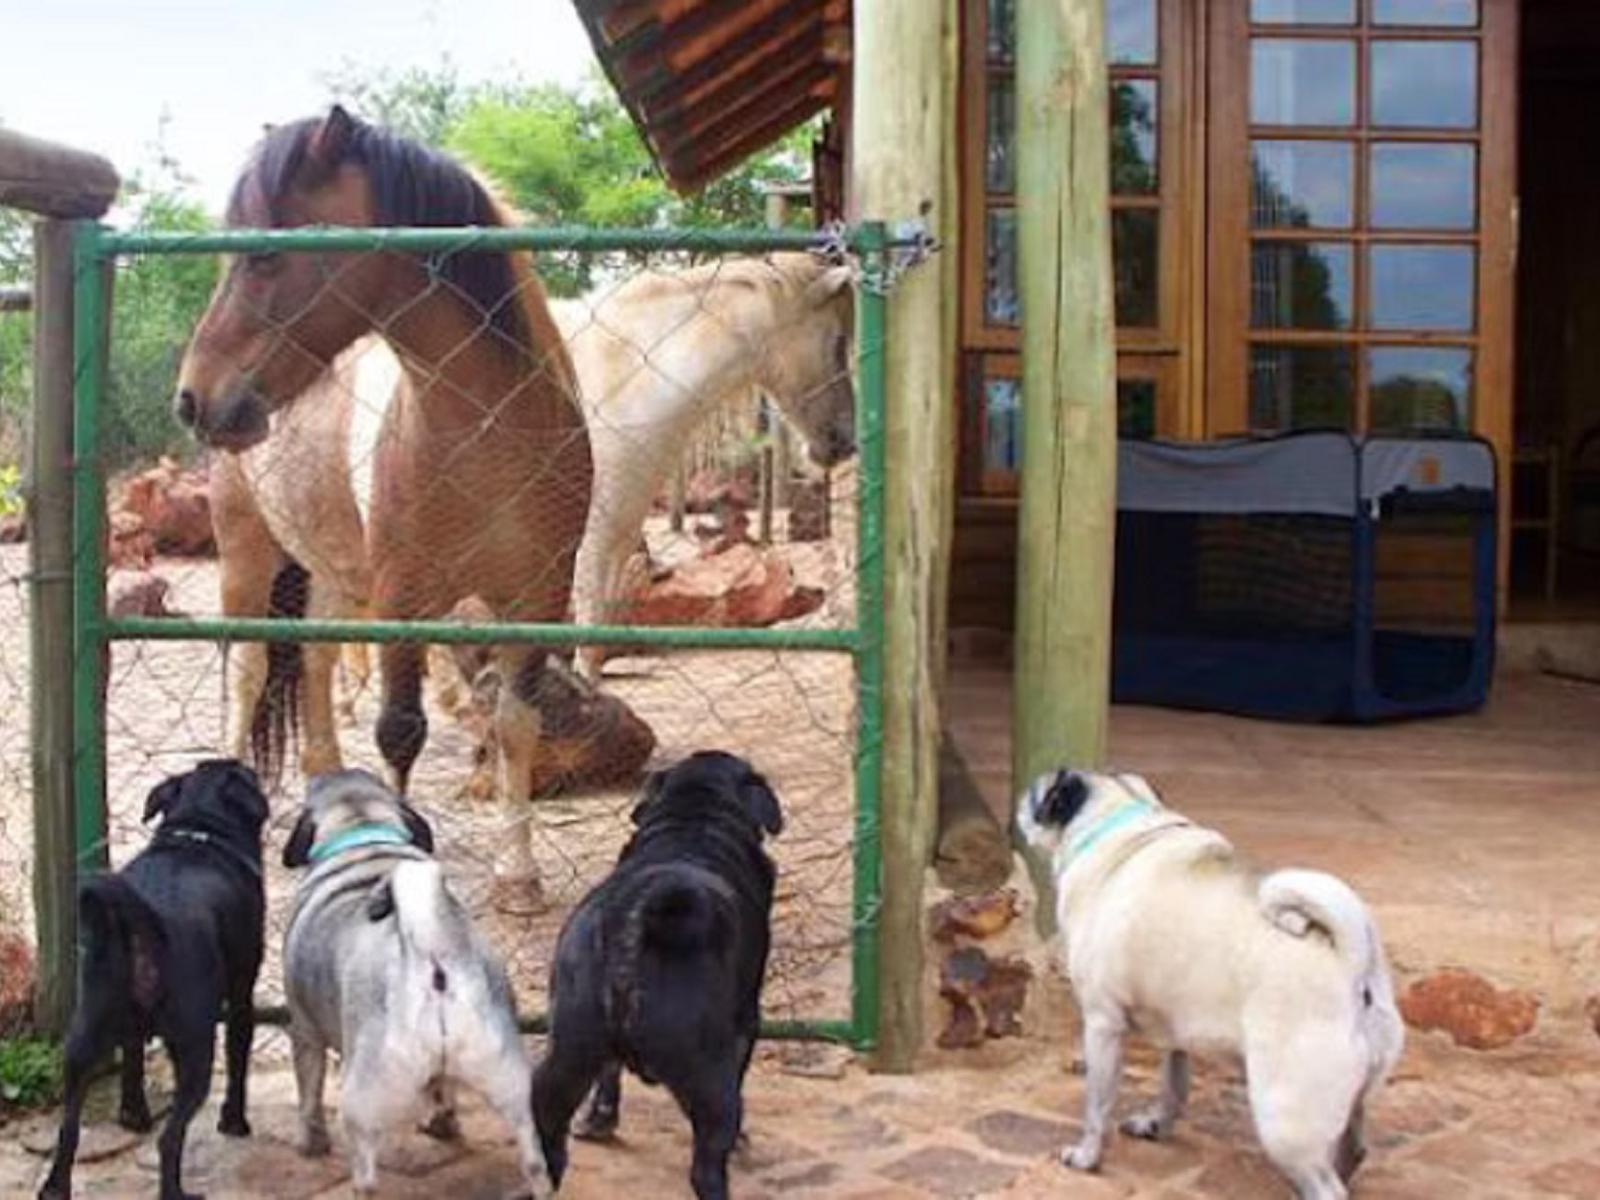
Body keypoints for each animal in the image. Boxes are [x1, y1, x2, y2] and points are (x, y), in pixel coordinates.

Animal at [39, 759, 269, 1200]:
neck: (197, 832)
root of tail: (145, 922)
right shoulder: (241, 995)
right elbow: (239, 1058)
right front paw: (235, 1122)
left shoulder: (129, 1030)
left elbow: (132, 1059)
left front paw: (133, 1114)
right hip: (195, 1050)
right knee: (170, 1138)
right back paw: (176, 1192)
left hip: (82, 1037)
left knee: (68, 1129)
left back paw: (55, 1188)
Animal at [174, 105, 593, 911]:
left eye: (264, 257)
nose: (193, 399)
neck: (486, 431)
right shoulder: (403, 599)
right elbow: (401, 730)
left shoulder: (537, 597)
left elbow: (516, 726)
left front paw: (518, 874)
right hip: (248, 557)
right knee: (247, 672)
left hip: (332, 573)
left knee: (311, 662)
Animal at [279, 768, 547, 1197]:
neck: (363, 828)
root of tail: (435, 953)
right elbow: (442, 1089)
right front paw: (442, 1121)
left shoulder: (304, 1031)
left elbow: (309, 1090)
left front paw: (310, 1142)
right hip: (514, 1088)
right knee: (535, 1160)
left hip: (361, 1102)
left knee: (366, 1176)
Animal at [531, 750, 783, 1200]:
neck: (693, 826)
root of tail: (637, 918)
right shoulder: (747, 1021)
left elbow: (609, 1075)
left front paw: (599, 1120)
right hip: (712, 1085)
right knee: (706, 1167)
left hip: (564, 1061)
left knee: (548, 1146)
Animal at [1016, 768, 1404, 1200]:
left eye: (1036, 795)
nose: (1018, 802)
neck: (1122, 822)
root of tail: (1350, 958)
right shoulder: (1174, 1028)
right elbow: (1174, 1086)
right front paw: (1157, 1124)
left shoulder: (1102, 1025)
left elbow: (1097, 1106)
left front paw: (1087, 1156)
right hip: (1351, 1099)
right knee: (1354, 1149)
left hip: (1284, 1118)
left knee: (1327, 1186)